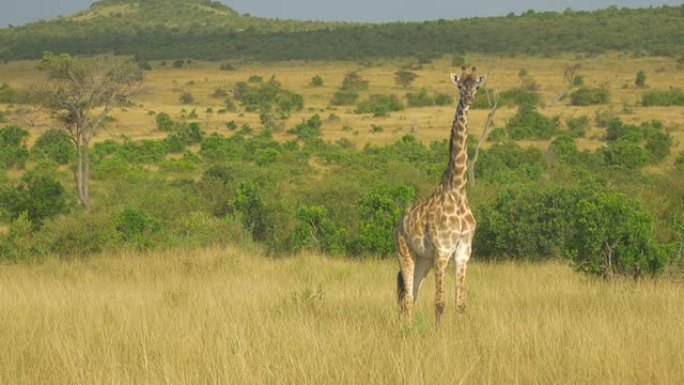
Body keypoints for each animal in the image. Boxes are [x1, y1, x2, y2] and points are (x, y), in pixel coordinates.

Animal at [396, 66, 486, 324]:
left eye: (477, 86)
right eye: (460, 86)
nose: (469, 99)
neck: (457, 192)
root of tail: (399, 224)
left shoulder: (464, 251)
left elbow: (460, 303)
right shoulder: (443, 250)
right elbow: (439, 303)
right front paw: (439, 332)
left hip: (424, 260)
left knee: (412, 296)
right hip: (405, 253)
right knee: (407, 298)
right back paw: (406, 329)